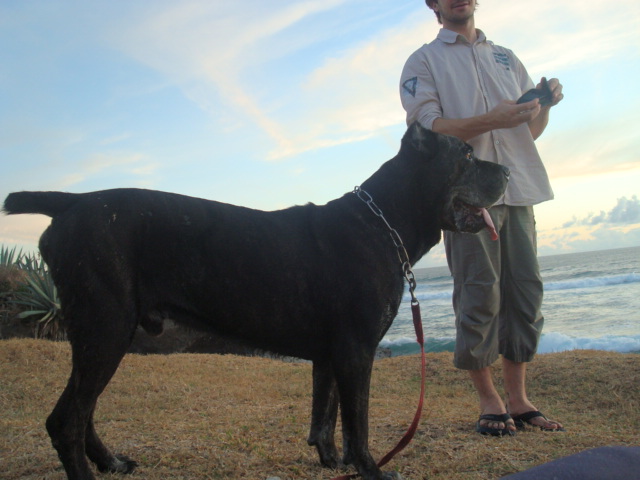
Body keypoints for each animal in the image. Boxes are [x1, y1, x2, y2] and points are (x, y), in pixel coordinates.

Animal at [2, 124, 508, 480]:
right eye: (466, 155)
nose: (505, 171)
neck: (383, 221)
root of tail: (71, 202)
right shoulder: (356, 352)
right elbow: (357, 423)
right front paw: (370, 469)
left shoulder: (330, 355)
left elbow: (324, 416)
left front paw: (332, 461)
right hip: (105, 328)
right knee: (66, 421)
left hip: (100, 334)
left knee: (82, 410)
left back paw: (111, 464)